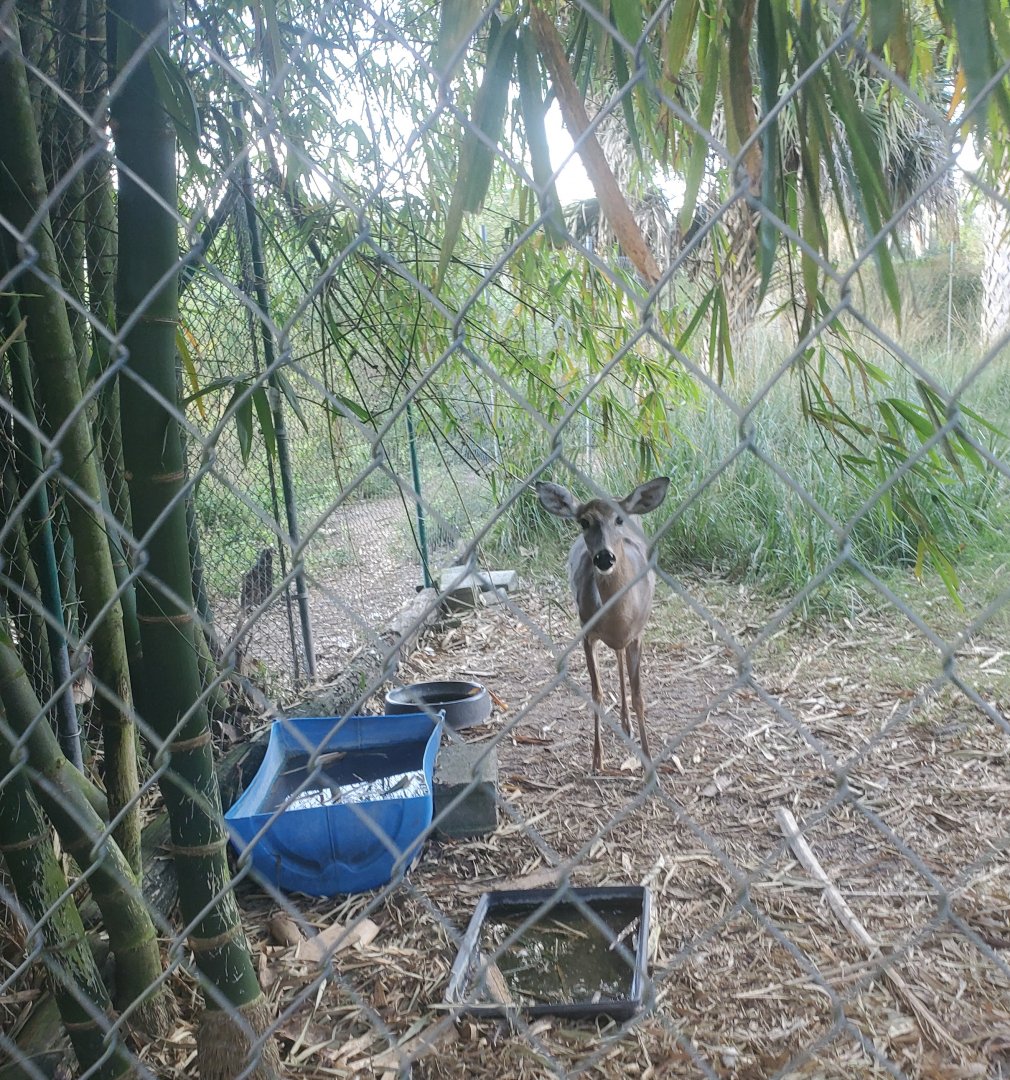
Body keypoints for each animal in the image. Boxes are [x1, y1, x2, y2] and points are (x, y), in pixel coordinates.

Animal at [536, 476, 671, 772]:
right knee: (616, 657)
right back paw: (623, 724)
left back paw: (627, 724)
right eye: (584, 522)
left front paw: (648, 761)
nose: (604, 557)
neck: (617, 618)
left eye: (618, 519)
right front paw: (597, 759)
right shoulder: (587, 632)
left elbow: (639, 697)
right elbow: (596, 694)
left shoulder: (637, 634)